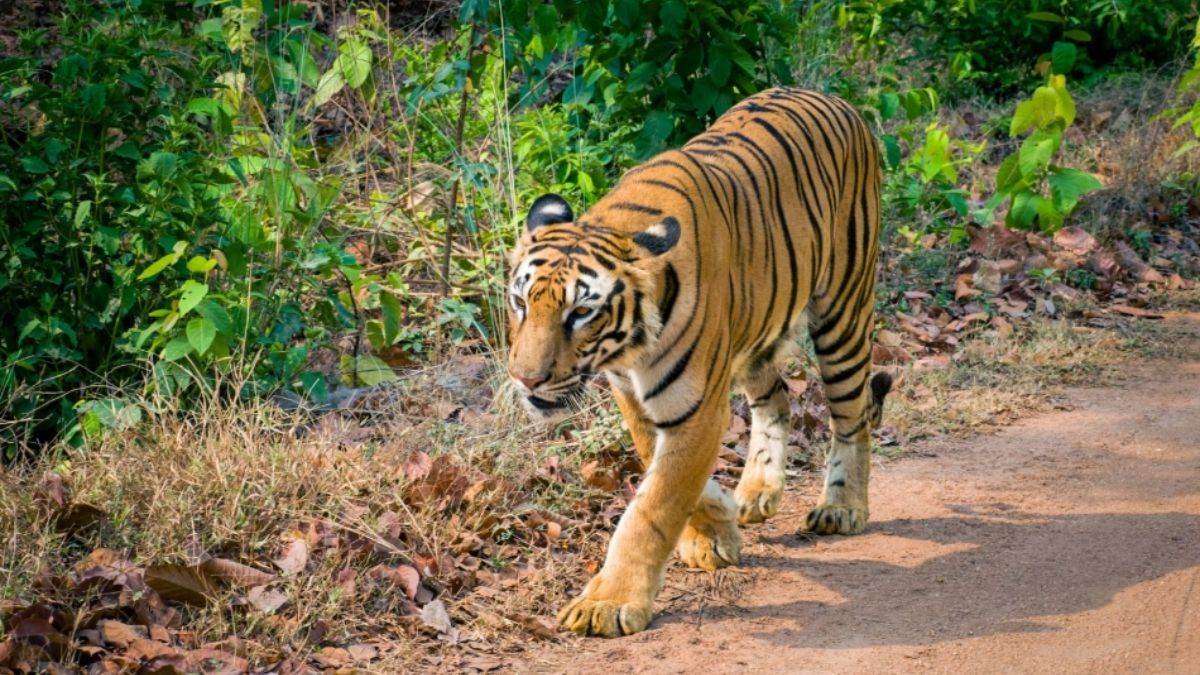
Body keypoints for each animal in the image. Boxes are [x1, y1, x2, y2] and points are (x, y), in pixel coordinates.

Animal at [506, 87, 892, 637]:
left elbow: (653, 506)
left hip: (843, 311)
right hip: (756, 331)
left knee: (852, 416)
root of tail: (838, 101)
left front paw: (608, 602)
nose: (526, 378)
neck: (630, 349)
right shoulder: (636, 397)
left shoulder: (696, 406)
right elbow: (666, 472)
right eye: (521, 302)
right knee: (778, 400)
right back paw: (756, 492)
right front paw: (716, 530)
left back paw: (842, 507)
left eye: (581, 312)